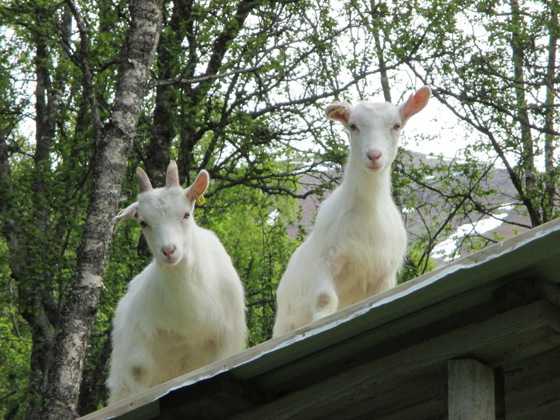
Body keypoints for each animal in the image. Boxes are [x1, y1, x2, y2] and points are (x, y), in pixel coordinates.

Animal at [274, 87, 430, 336]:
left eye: (396, 125)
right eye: (353, 126)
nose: (374, 155)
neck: (367, 214)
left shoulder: (385, 273)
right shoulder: (325, 259)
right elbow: (324, 299)